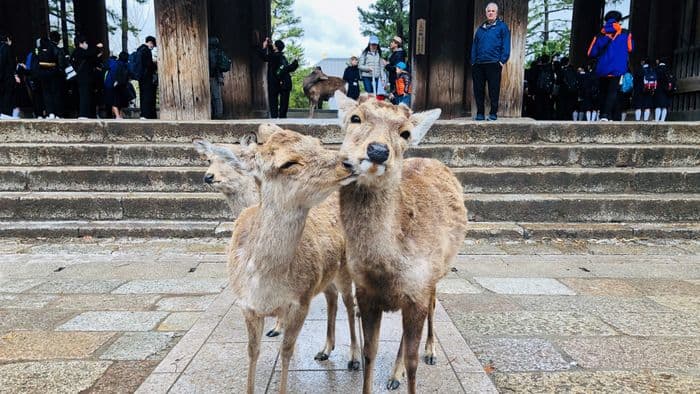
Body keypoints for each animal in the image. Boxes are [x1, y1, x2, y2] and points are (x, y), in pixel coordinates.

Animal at [202, 126, 358, 394]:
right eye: (288, 163)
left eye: (318, 143)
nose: (348, 162)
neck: (266, 283)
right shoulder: (246, 305)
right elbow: (252, 352)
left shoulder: (301, 301)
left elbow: (286, 352)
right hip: (326, 275)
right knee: (332, 297)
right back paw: (325, 350)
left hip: (345, 266)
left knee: (349, 302)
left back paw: (354, 358)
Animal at [332, 91, 468, 392]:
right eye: (355, 118)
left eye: (405, 133)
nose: (378, 151)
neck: (387, 268)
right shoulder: (366, 293)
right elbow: (369, 353)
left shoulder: (418, 289)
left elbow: (413, 362)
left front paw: (411, 367)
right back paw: (394, 374)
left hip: (438, 272)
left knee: (433, 306)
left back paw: (429, 352)